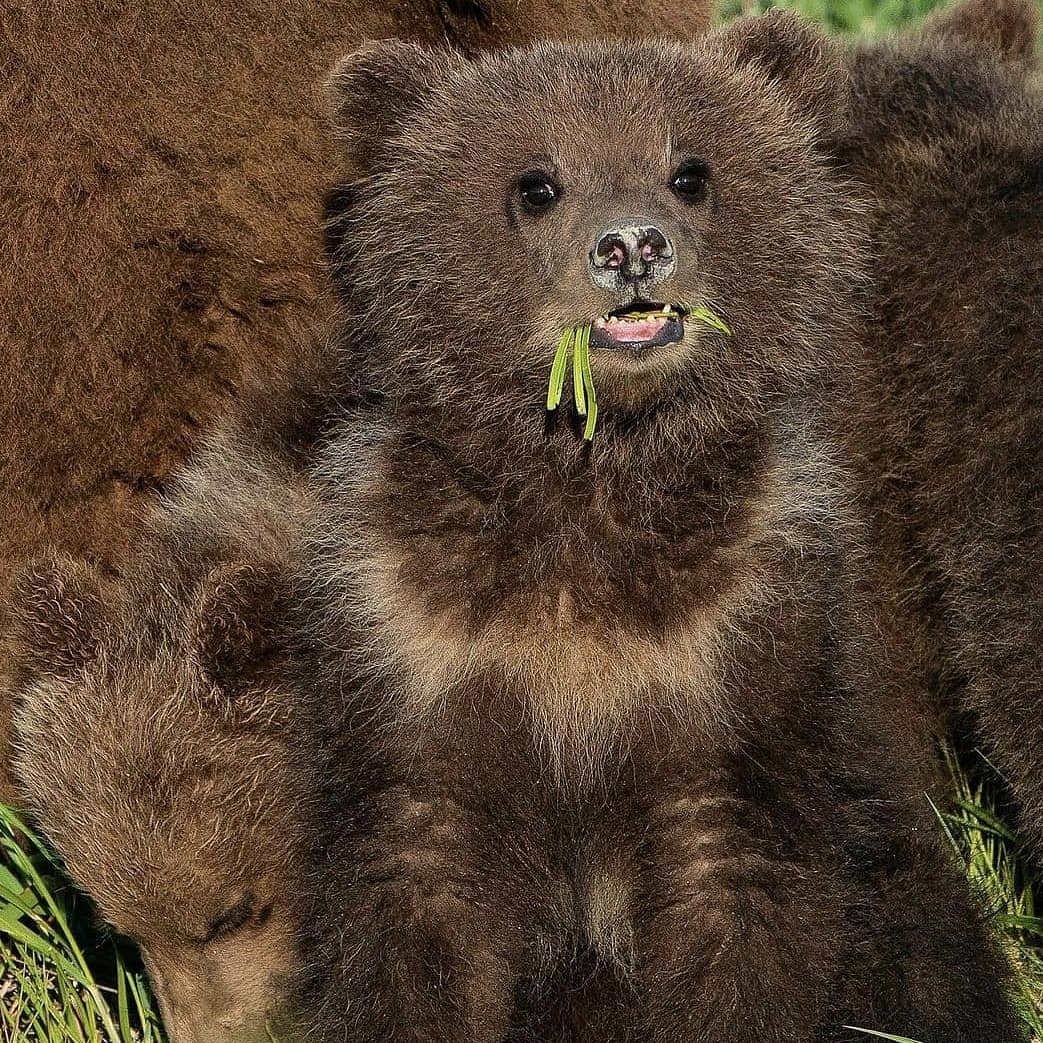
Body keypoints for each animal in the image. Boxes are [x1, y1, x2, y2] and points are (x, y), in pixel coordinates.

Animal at [284, 15, 1022, 1042]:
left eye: (689, 172)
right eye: (536, 182)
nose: (631, 246)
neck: (592, 487)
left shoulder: (738, 652)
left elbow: (742, 905)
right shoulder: (413, 643)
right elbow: (414, 905)